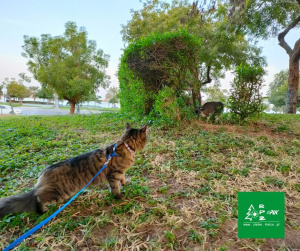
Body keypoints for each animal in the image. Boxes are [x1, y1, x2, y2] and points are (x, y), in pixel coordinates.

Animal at [0, 122, 146, 217]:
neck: (126, 145)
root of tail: (44, 173)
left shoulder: (120, 172)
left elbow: (123, 179)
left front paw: (125, 183)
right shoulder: (113, 174)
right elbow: (115, 187)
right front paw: (118, 196)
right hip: (59, 193)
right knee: (38, 197)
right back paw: (43, 211)